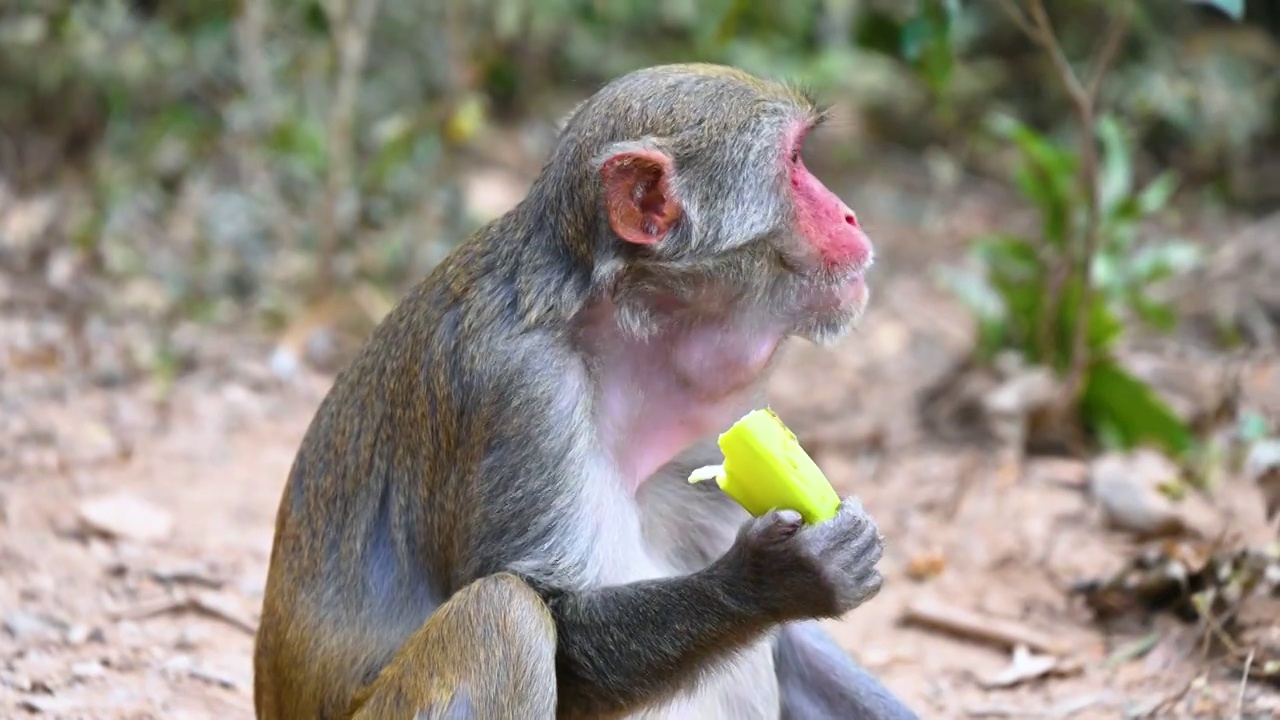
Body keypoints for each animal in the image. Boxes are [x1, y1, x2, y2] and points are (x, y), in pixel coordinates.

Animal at [252, 63, 921, 717]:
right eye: (794, 163)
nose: (849, 215)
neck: (622, 336)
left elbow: (788, 645)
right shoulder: (523, 390)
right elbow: (556, 623)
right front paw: (775, 579)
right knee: (504, 616)